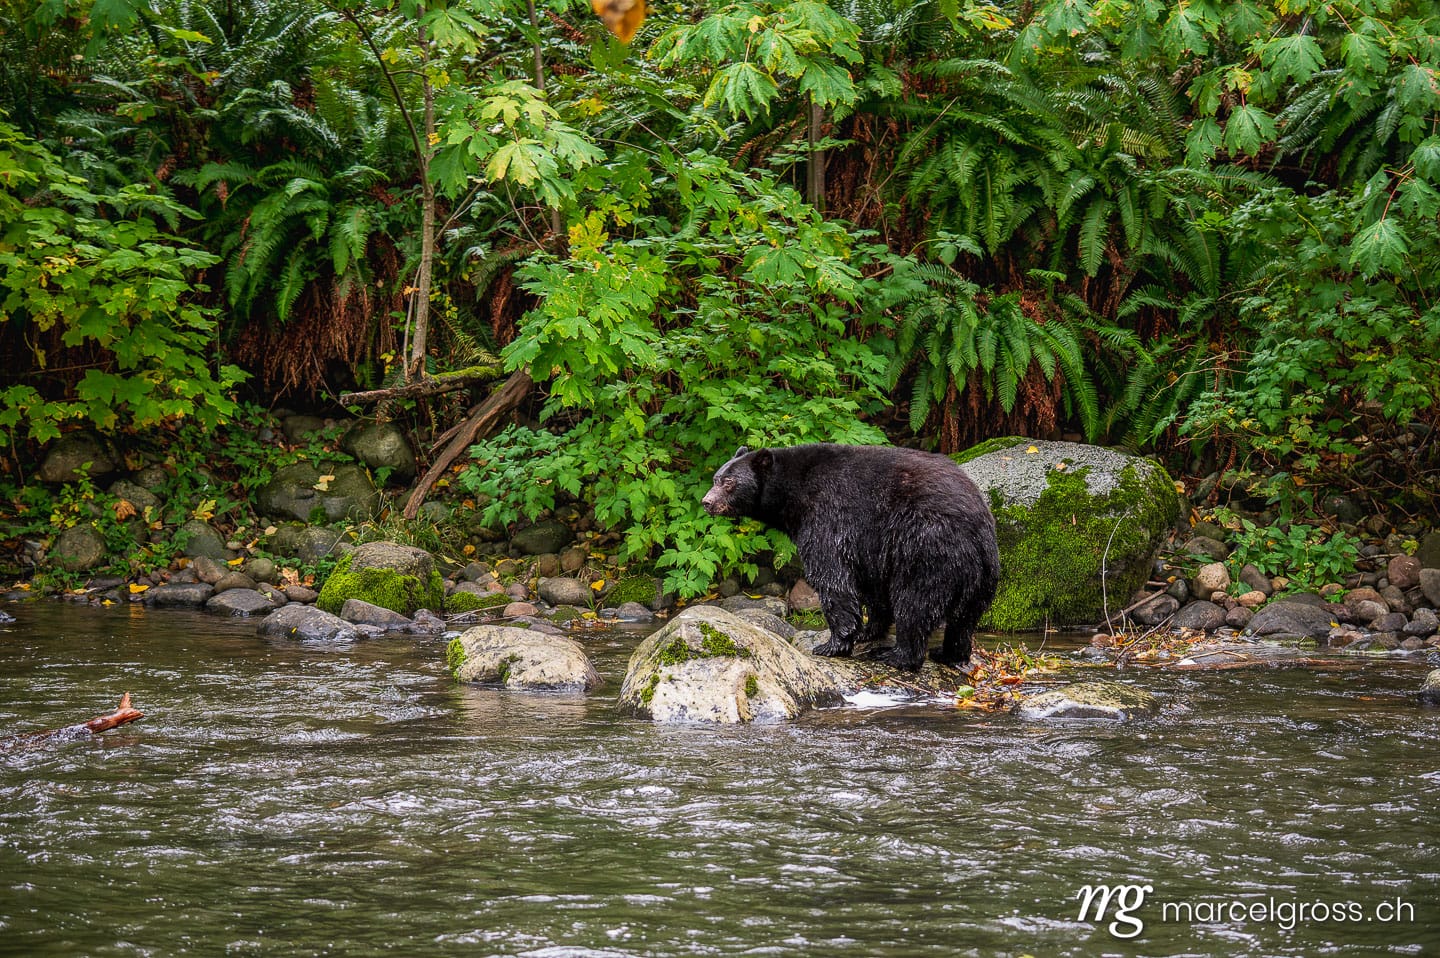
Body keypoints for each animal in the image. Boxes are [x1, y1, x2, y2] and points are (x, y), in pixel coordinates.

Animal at [701, 443, 1000, 672]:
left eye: (729, 482)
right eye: (716, 478)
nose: (707, 502)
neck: (793, 494)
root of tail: (977, 532)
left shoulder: (829, 516)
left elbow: (833, 577)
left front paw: (831, 644)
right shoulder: (871, 546)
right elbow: (872, 586)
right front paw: (868, 631)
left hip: (926, 549)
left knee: (915, 604)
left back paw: (897, 656)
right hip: (982, 573)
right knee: (964, 618)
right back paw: (948, 654)